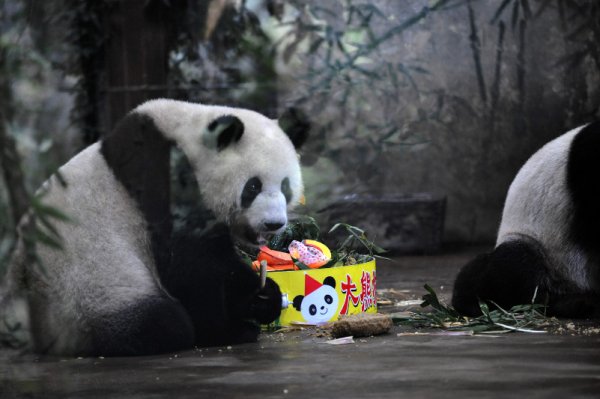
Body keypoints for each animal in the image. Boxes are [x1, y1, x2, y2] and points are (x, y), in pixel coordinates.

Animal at [0, 99, 310, 356]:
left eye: (285, 187)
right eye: (253, 186)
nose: (273, 223)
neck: (186, 136)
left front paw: (263, 297)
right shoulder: (161, 178)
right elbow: (191, 266)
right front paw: (228, 330)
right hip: (84, 294)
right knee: (157, 322)